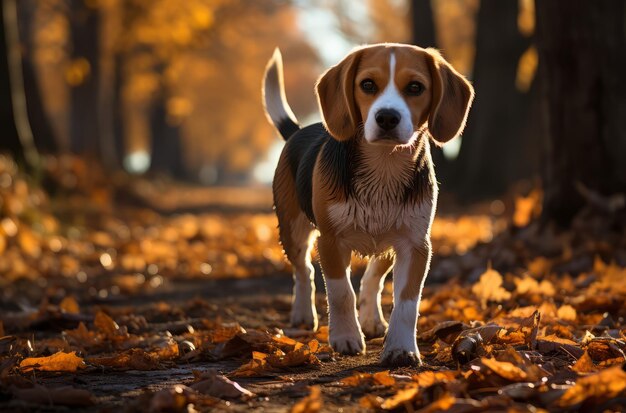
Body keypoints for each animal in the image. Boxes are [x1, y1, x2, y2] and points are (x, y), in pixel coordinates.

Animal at [260, 42, 470, 364]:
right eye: (367, 84)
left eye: (415, 87)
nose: (387, 117)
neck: (383, 167)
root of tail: (298, 130)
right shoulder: (330, 241)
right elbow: (340, 293)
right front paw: (346, 338)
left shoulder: (416, 245)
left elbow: (407, 301)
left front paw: (401, 347)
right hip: (292, 229)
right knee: (304, 269)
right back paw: (303, 315)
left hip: (389, 240)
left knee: (372, 277)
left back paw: (371, 319)